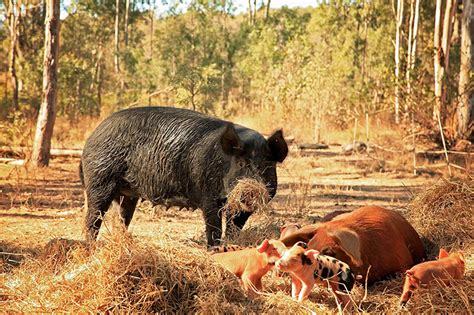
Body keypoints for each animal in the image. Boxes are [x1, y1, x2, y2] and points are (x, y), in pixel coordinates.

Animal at [79, 107, 286, 248]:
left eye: (265, 165)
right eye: (241, 164)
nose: (249, 192)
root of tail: (90, 139)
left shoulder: (241, 211)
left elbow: (234, 228)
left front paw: (233, 246)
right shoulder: (208, 196)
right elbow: (214, 227)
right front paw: (214, 249)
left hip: (128, 194)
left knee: (121, 219)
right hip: (99, 181)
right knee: (92, 218)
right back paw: (91, 247)